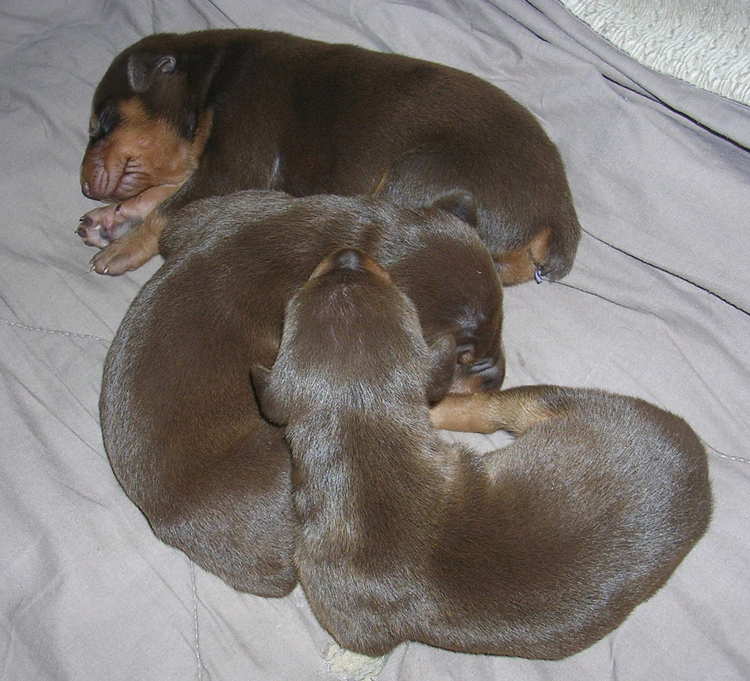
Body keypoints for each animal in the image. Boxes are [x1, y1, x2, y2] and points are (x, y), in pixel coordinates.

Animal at [78, 27, 580, 282]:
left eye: (102, 122)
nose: (83, 186)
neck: (209, 82)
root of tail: (558, 216)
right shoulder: (207, 166)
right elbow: (160, 193)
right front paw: (110, 219)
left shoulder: (235, 164)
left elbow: (165, 210)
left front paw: (122, 247)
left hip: (418, 173)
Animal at [251, 248, 712, 660]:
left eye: (297, 297)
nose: (347, 256)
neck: (362, 431)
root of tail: (699, 464)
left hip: (544, 402)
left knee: (491, 408)